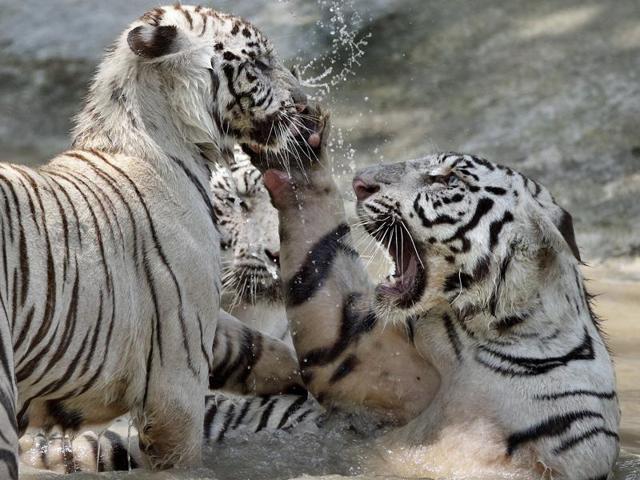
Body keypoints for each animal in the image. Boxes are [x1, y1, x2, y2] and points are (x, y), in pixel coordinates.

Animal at [0, 4, 311, 477]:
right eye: (258, 64)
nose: (305, 100)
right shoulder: (175, 373)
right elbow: (179, 458)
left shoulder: (199, 319)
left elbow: (256, 348)